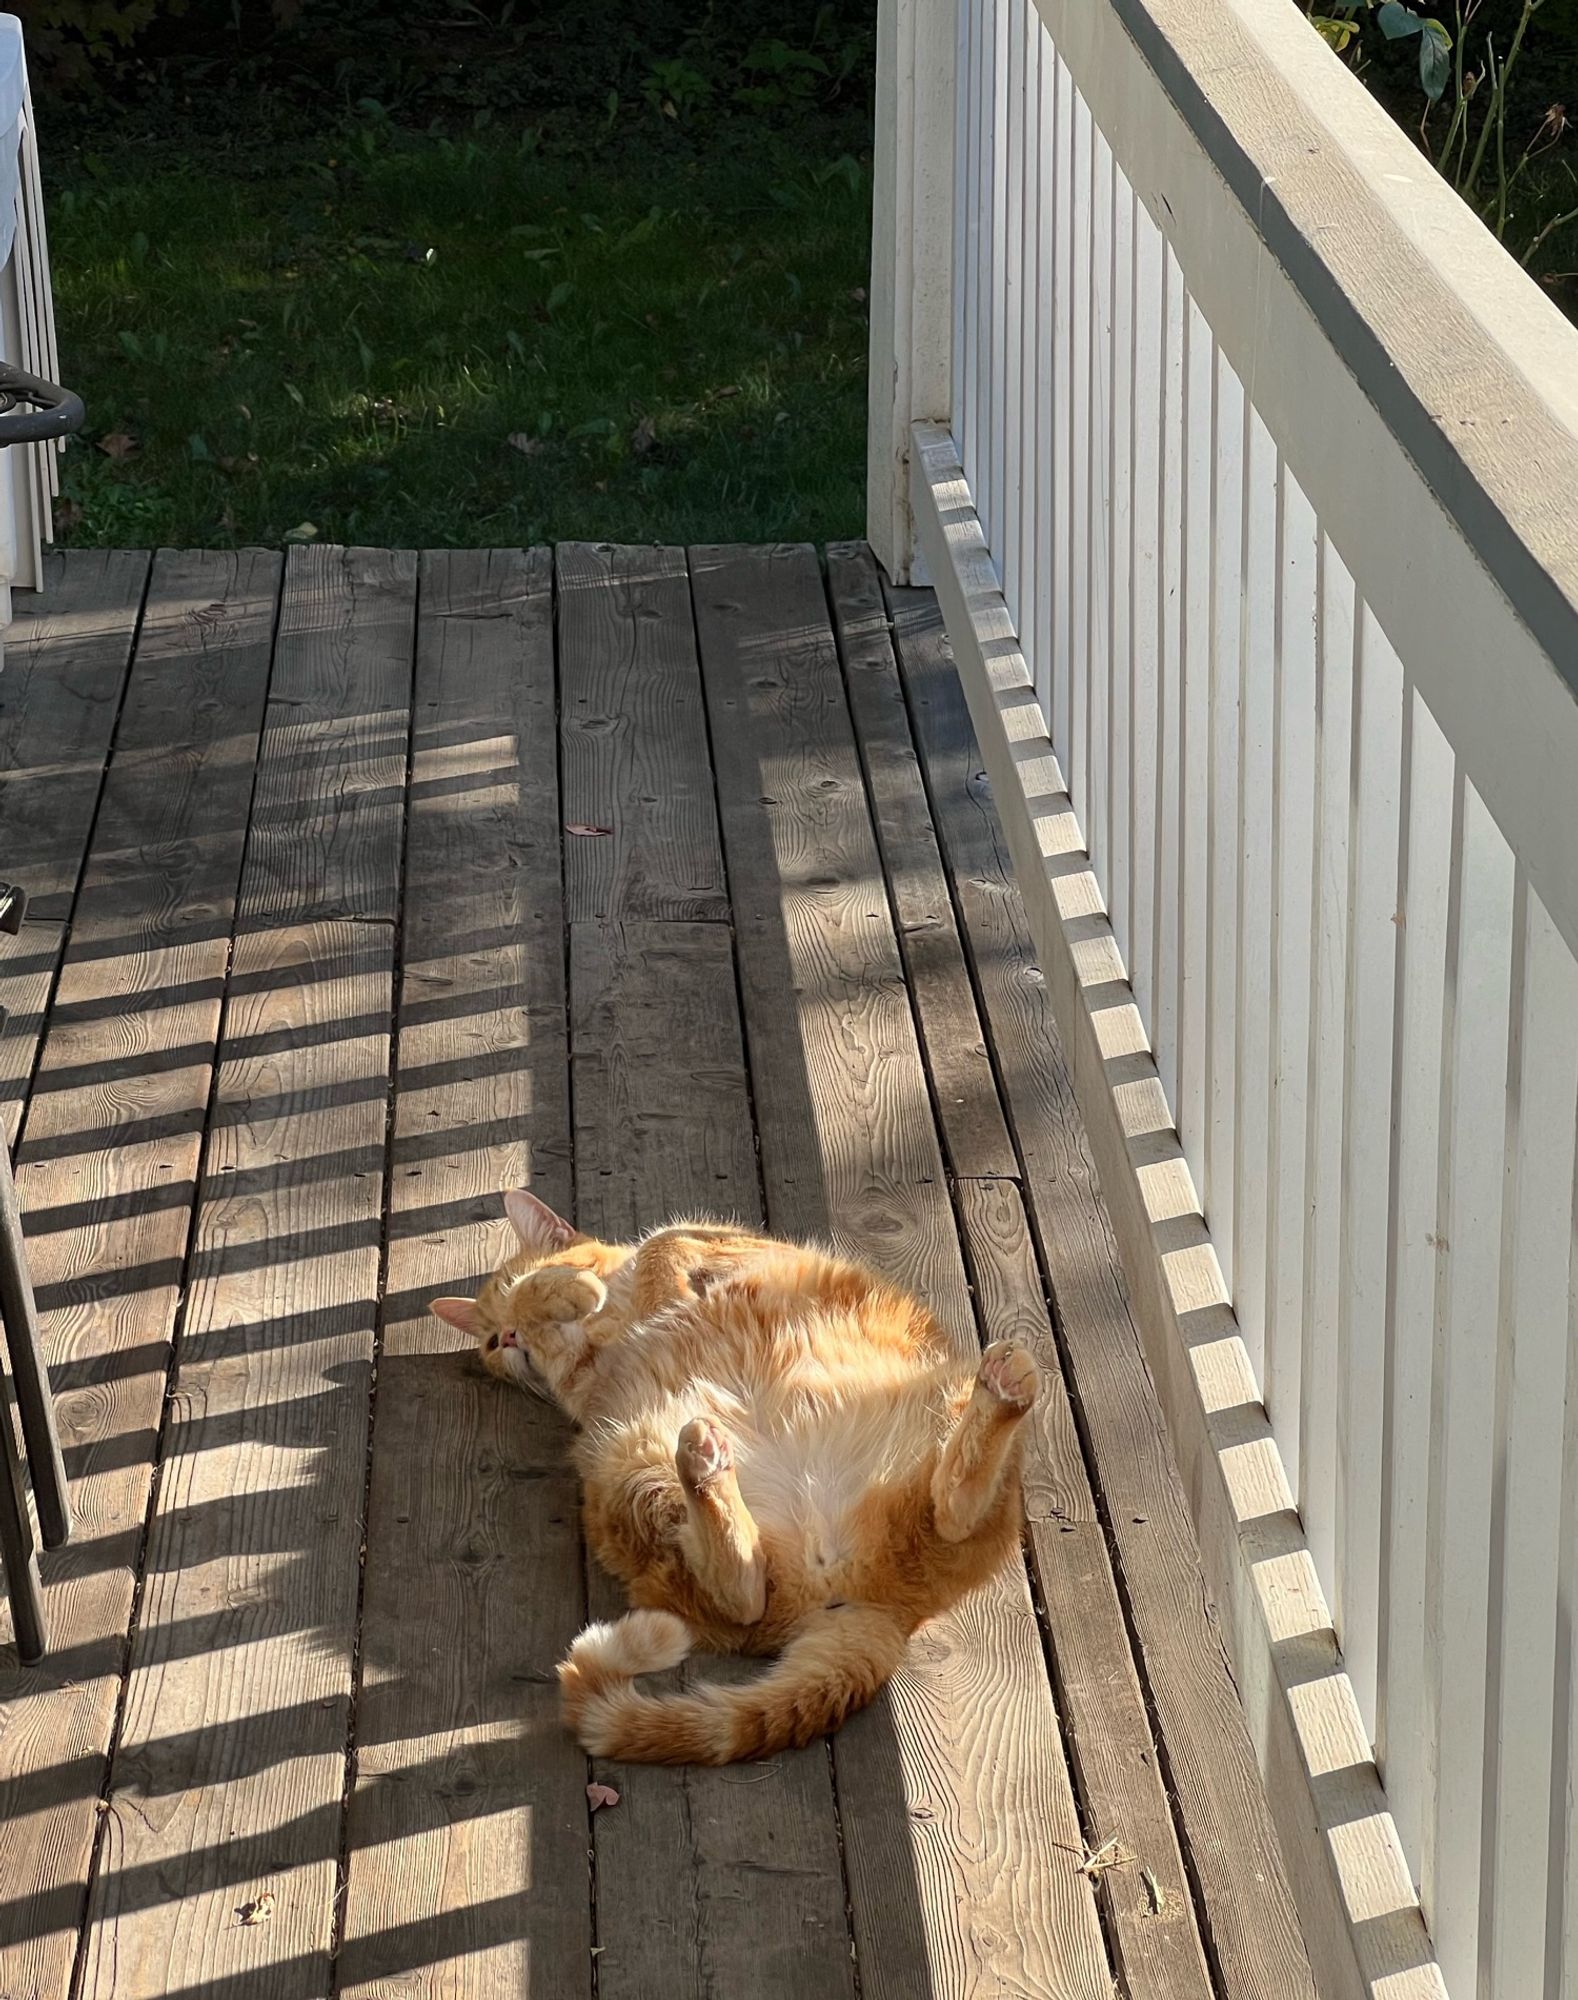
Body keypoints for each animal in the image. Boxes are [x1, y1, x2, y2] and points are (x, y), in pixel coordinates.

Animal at [438, 1184, 1040, 1768]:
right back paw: (707, 1468)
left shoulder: (719, 1240)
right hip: (631, 1463)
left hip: (948, 1390)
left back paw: (1003, 1391)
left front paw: (609, 1292)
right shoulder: (584, 1391)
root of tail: (875, 1604)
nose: (508, 1338)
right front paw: (579, 1305)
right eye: (489, 1342)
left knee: (953, 1506)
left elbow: (659, 1245)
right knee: (751, 1590)